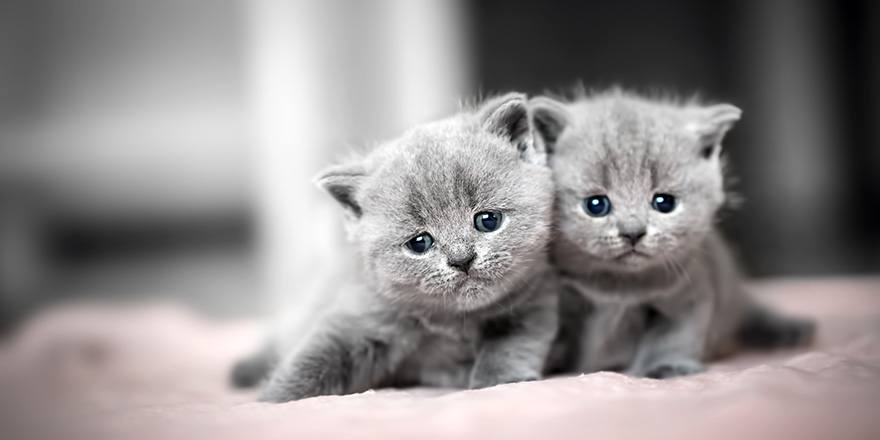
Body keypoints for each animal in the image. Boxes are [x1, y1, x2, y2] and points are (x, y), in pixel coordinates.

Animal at [232, 93, 556, 402]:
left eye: (488, 220)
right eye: (419, 243)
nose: (461, 258)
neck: (455, 322)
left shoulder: (535, 301)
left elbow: (512, 345)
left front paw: (500, 381)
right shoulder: (360, 314)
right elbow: (314, 357)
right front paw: (273, 400)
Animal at [536, 89, 820, 378]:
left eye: (664, 203)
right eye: (595, 205)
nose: (633, 232)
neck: (620, 288)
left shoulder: (689, 292)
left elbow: (673, 337)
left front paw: (667, 367)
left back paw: (788, 330)